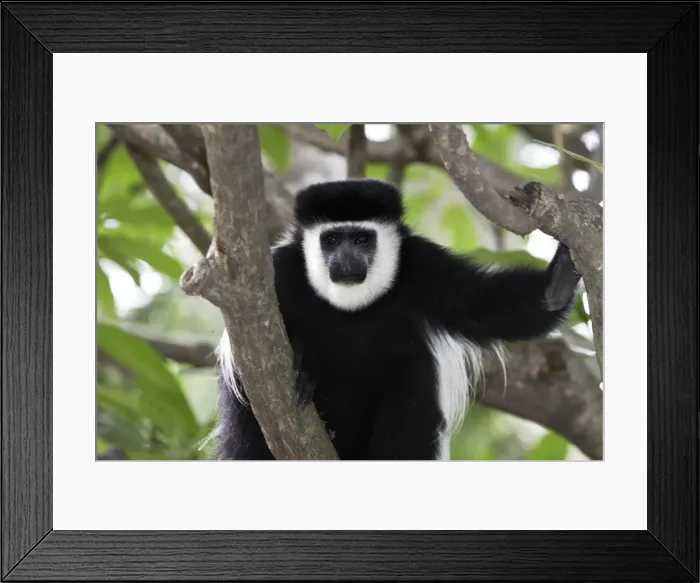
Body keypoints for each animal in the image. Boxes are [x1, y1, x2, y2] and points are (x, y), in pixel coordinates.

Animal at [211, 179, 581, 460]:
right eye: (331, 240)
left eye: (362, 239)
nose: (346, 260)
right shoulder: (281, 272)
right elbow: (251, 356)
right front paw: (303, 360)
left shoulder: (425, 266)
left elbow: (479, 308)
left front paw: (559, 279)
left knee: (409, 379)